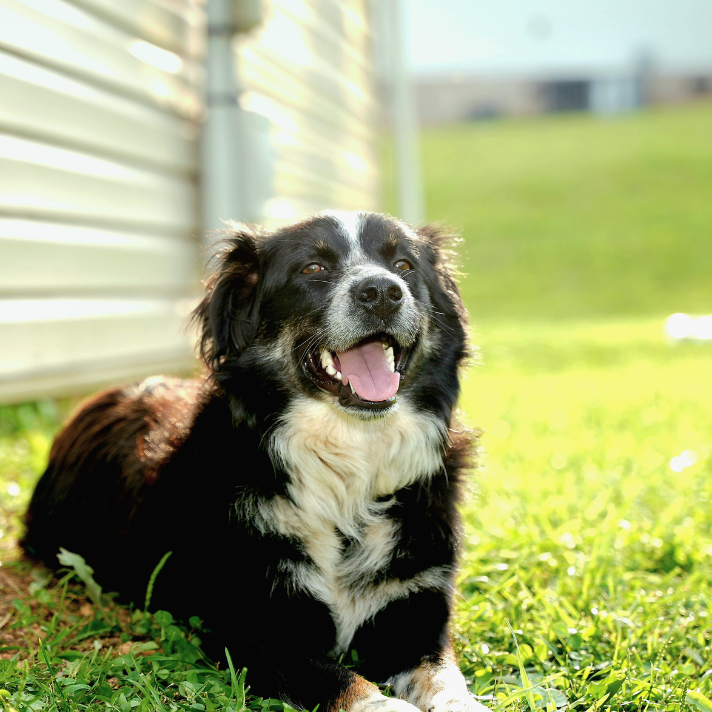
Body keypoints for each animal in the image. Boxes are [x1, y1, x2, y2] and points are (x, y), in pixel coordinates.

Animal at [23, 210, 490, 712]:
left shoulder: (418, 612)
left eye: (404, 265)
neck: (350, 460)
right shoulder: (261, 629)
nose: (383, 292)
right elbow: (351, 686)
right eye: (312, 268)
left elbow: (446, 681)